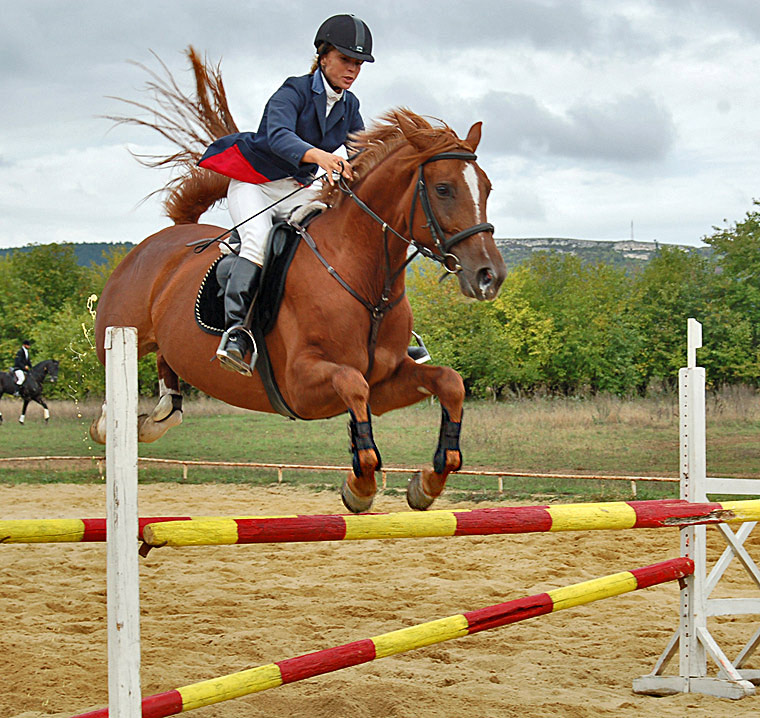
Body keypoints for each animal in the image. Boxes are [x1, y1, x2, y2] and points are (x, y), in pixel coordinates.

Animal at [90, 49, 504, 512]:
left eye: (486, 188)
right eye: (444, 189)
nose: (489, 276)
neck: (363, 279)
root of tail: (168, 238)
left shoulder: (387, 382)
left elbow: (449, 382)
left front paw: (427, 482)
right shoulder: (302, 385)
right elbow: (352, 384)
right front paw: (360, 485)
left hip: (169, 341)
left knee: (169, 382)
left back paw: (156, 417)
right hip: (120, 331)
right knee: (113, 388)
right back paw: (113, 428)